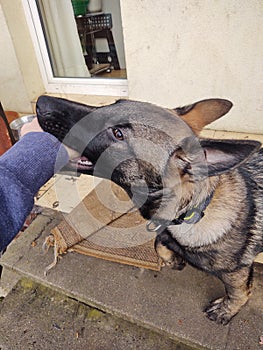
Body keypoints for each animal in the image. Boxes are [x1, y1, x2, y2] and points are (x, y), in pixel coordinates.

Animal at [36, 95, 263, 326]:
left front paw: (226, 310)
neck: (194, 209)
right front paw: (172, 259)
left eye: (118, 134)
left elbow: (239, 293)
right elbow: (158, 243)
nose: (41, 102)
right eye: (115, 103)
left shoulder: (237, 272)